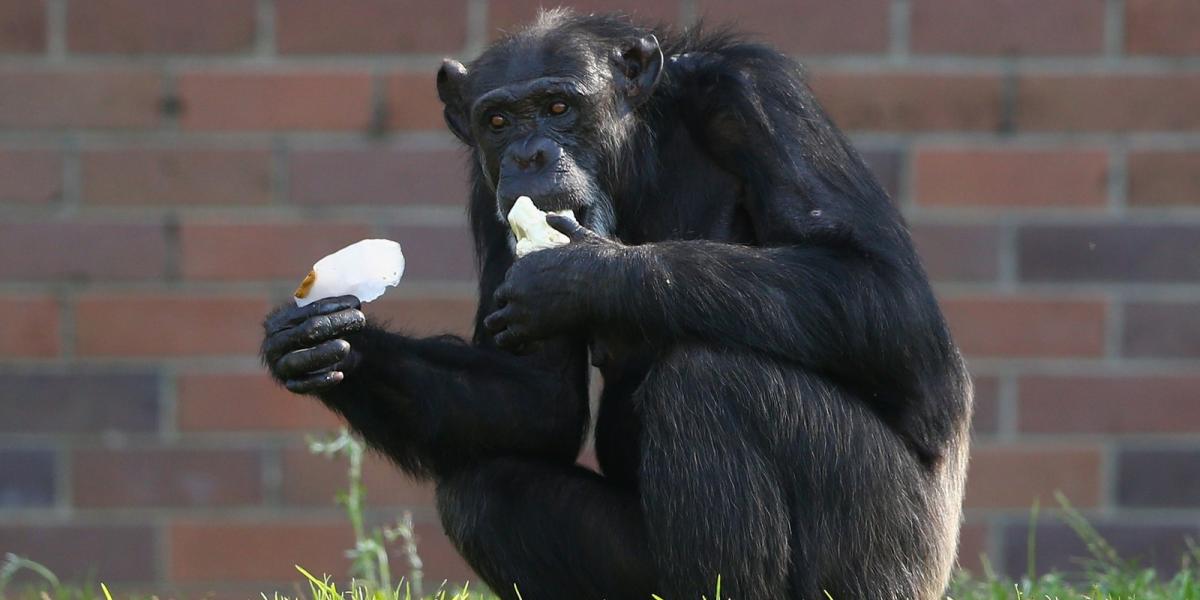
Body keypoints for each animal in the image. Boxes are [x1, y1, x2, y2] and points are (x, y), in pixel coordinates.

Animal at [260, 9, 974, 600]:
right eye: (498, 121)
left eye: (558, 106)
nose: (529, 154)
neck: (639, 157)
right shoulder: (488, 194)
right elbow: (536, 400)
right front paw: (323, 339)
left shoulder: (758, 96)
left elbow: (884, 294)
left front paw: (581, 276)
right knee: (484, 495)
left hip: (885, 559)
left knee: (714, 381)